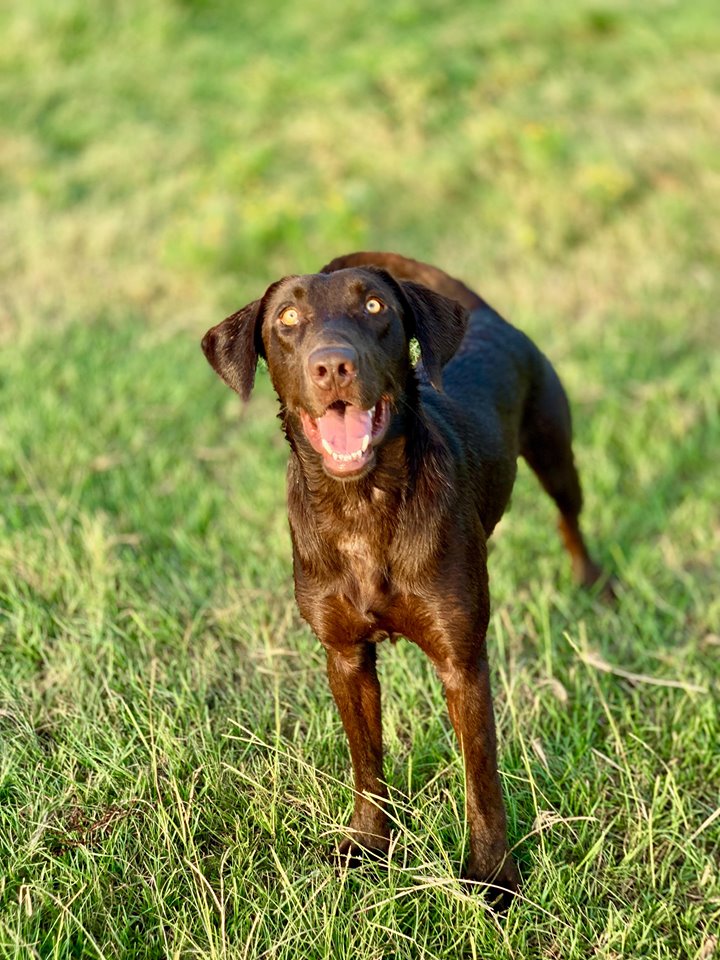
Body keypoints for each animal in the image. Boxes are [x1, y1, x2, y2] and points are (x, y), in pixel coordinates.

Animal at [202, 251, 608, 904]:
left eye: (375, 307)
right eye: (286, 318)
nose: (332, 365)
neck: (363, 507)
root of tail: (489, 316)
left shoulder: (462, 660)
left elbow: (482, 781)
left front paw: (492, 878)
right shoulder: (345, 656)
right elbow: (366, 762)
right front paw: (369, 848)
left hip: (555, 450)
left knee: (569, 518)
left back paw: (594, 583)